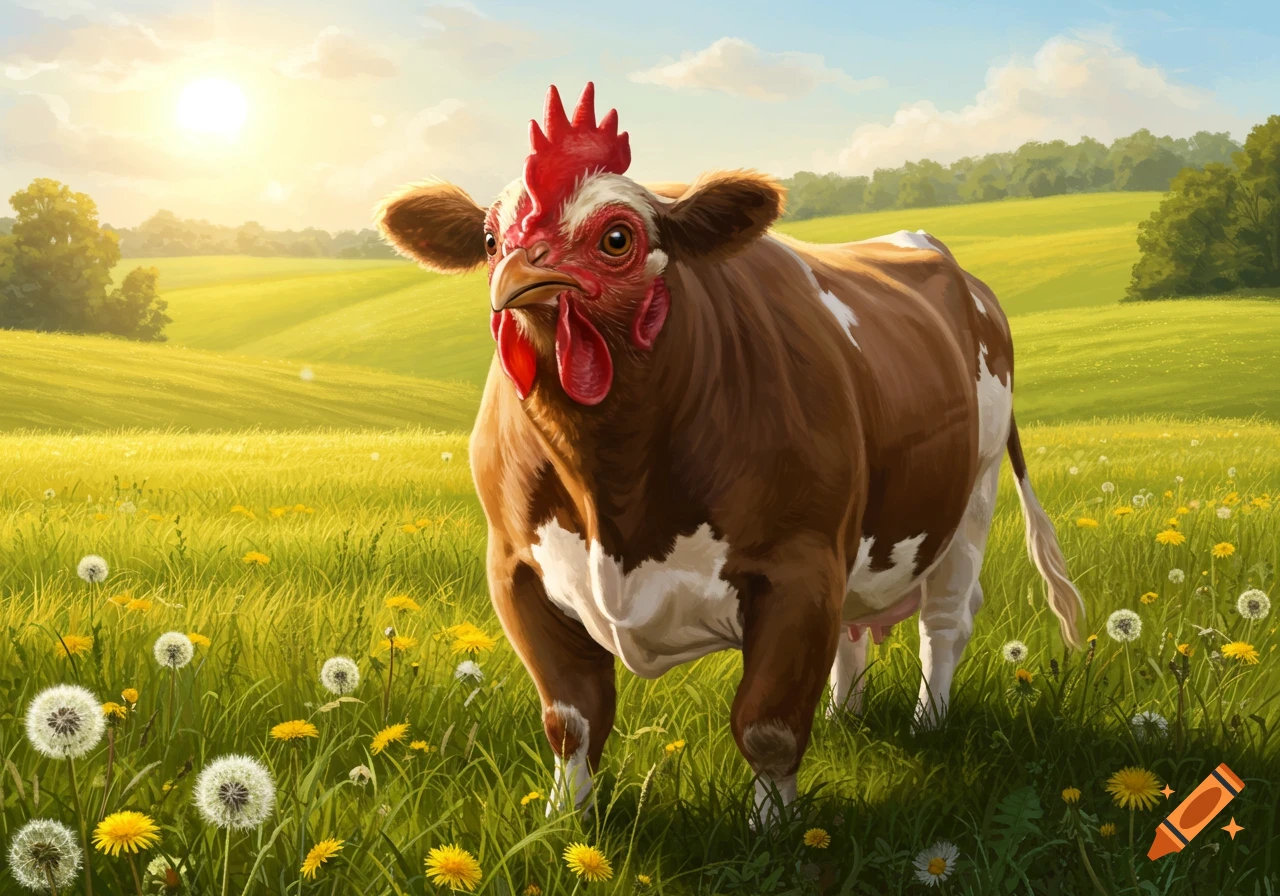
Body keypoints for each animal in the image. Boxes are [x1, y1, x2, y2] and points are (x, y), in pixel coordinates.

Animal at [377, 83, 1084, 823]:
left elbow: (768, 724)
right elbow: (572, 719)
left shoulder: (800, 565)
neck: (614, 493)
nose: (514, 275)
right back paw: (844, 717)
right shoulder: (517, 569)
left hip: (971, 496)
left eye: (617, 238)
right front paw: (564, 820)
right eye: (491, 240)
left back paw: (929, 724)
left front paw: (772, 828)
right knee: (855, 630)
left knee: (945, 621)